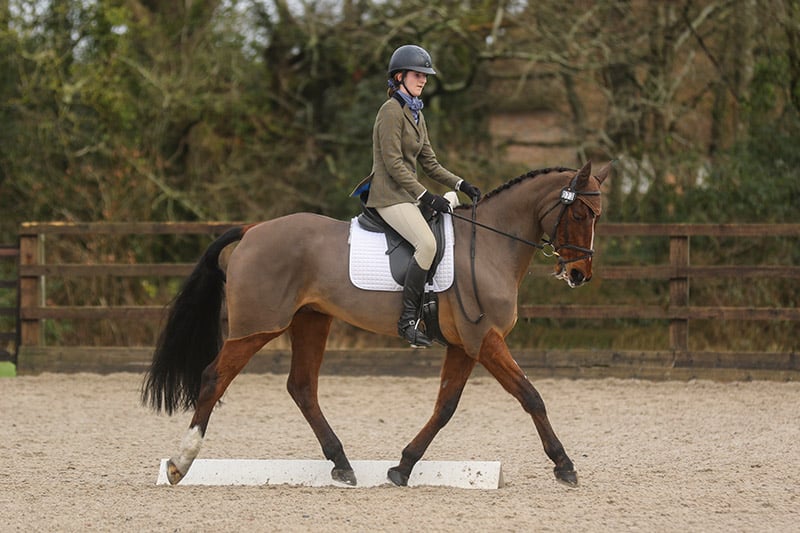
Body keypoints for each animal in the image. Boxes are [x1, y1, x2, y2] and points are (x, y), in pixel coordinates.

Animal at [141, 161, 608, 486]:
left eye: (597, 216)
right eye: (580, 214)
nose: (579, 274)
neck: (491, 245)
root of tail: (254, 230)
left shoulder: (465, 346)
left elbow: (444, 407)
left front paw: (402, 466)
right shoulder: (485, 340)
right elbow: (531, 396)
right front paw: (564, 465)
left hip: (311, 322)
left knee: (301, 387)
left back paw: (343, 465)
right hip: (258, 327)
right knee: (213, 377)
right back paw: (180, 464)